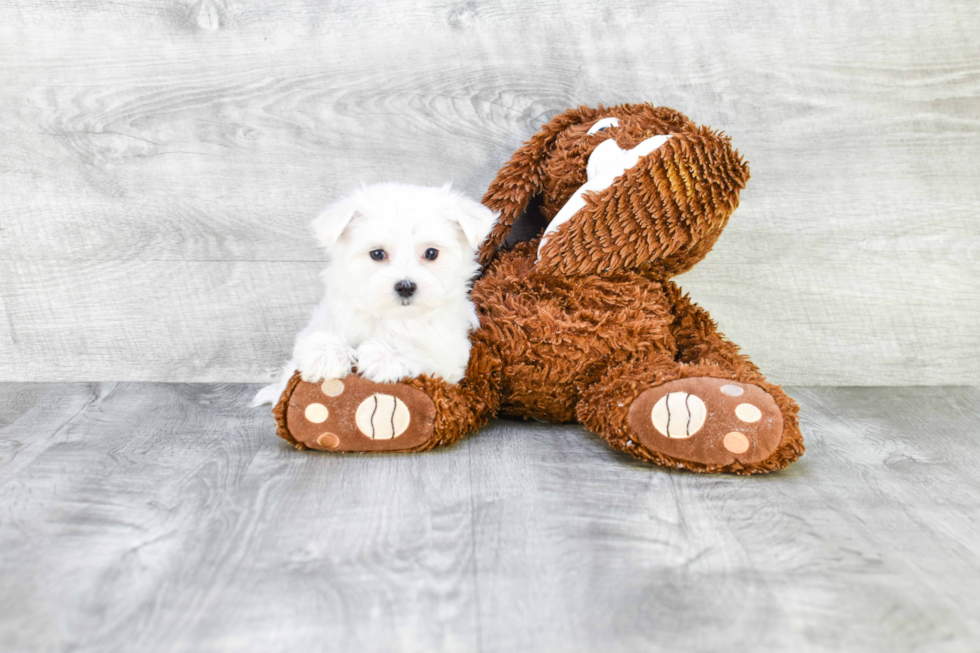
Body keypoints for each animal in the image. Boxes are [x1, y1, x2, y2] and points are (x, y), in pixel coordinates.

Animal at [253, 178, 498, 402]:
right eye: (377, 254)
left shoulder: (450, 355)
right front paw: (326, 354)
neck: (393, 317)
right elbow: (316, 339)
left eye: (431, 253)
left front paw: (384, 354)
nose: (405, 286)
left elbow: (423, 352)